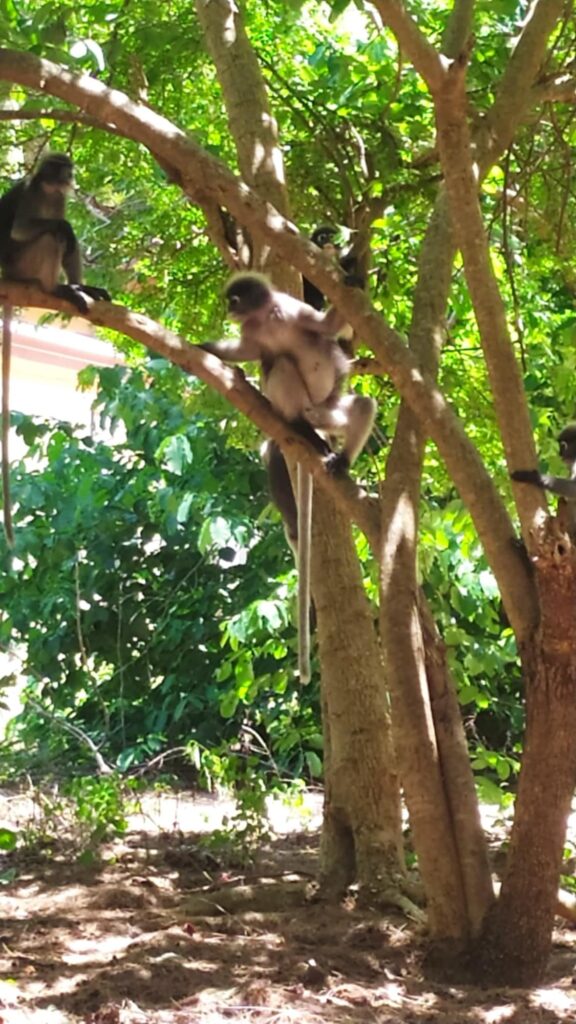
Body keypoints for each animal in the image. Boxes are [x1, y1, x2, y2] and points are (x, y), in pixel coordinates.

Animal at [0, 153, 110, 546]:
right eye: (61, 166)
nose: (70, 174)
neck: (47, 190)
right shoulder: (33, 196)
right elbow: (23, 229)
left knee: (63, 241)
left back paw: (79, 288)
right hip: (22, 264)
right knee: (54, 234)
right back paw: (57, 289)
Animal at [201, 272, 376, 683]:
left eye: (234, 299)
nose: (228, 308)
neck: (268, 318)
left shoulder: (294, 311)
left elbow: (326, 328)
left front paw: (353, 275)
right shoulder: (252, 334)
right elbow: (244, 353)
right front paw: (202, 347)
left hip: (328, 408)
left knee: (362, 405)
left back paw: (339, 458)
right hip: (309, 408)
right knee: (280, 365)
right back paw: (301, 430)